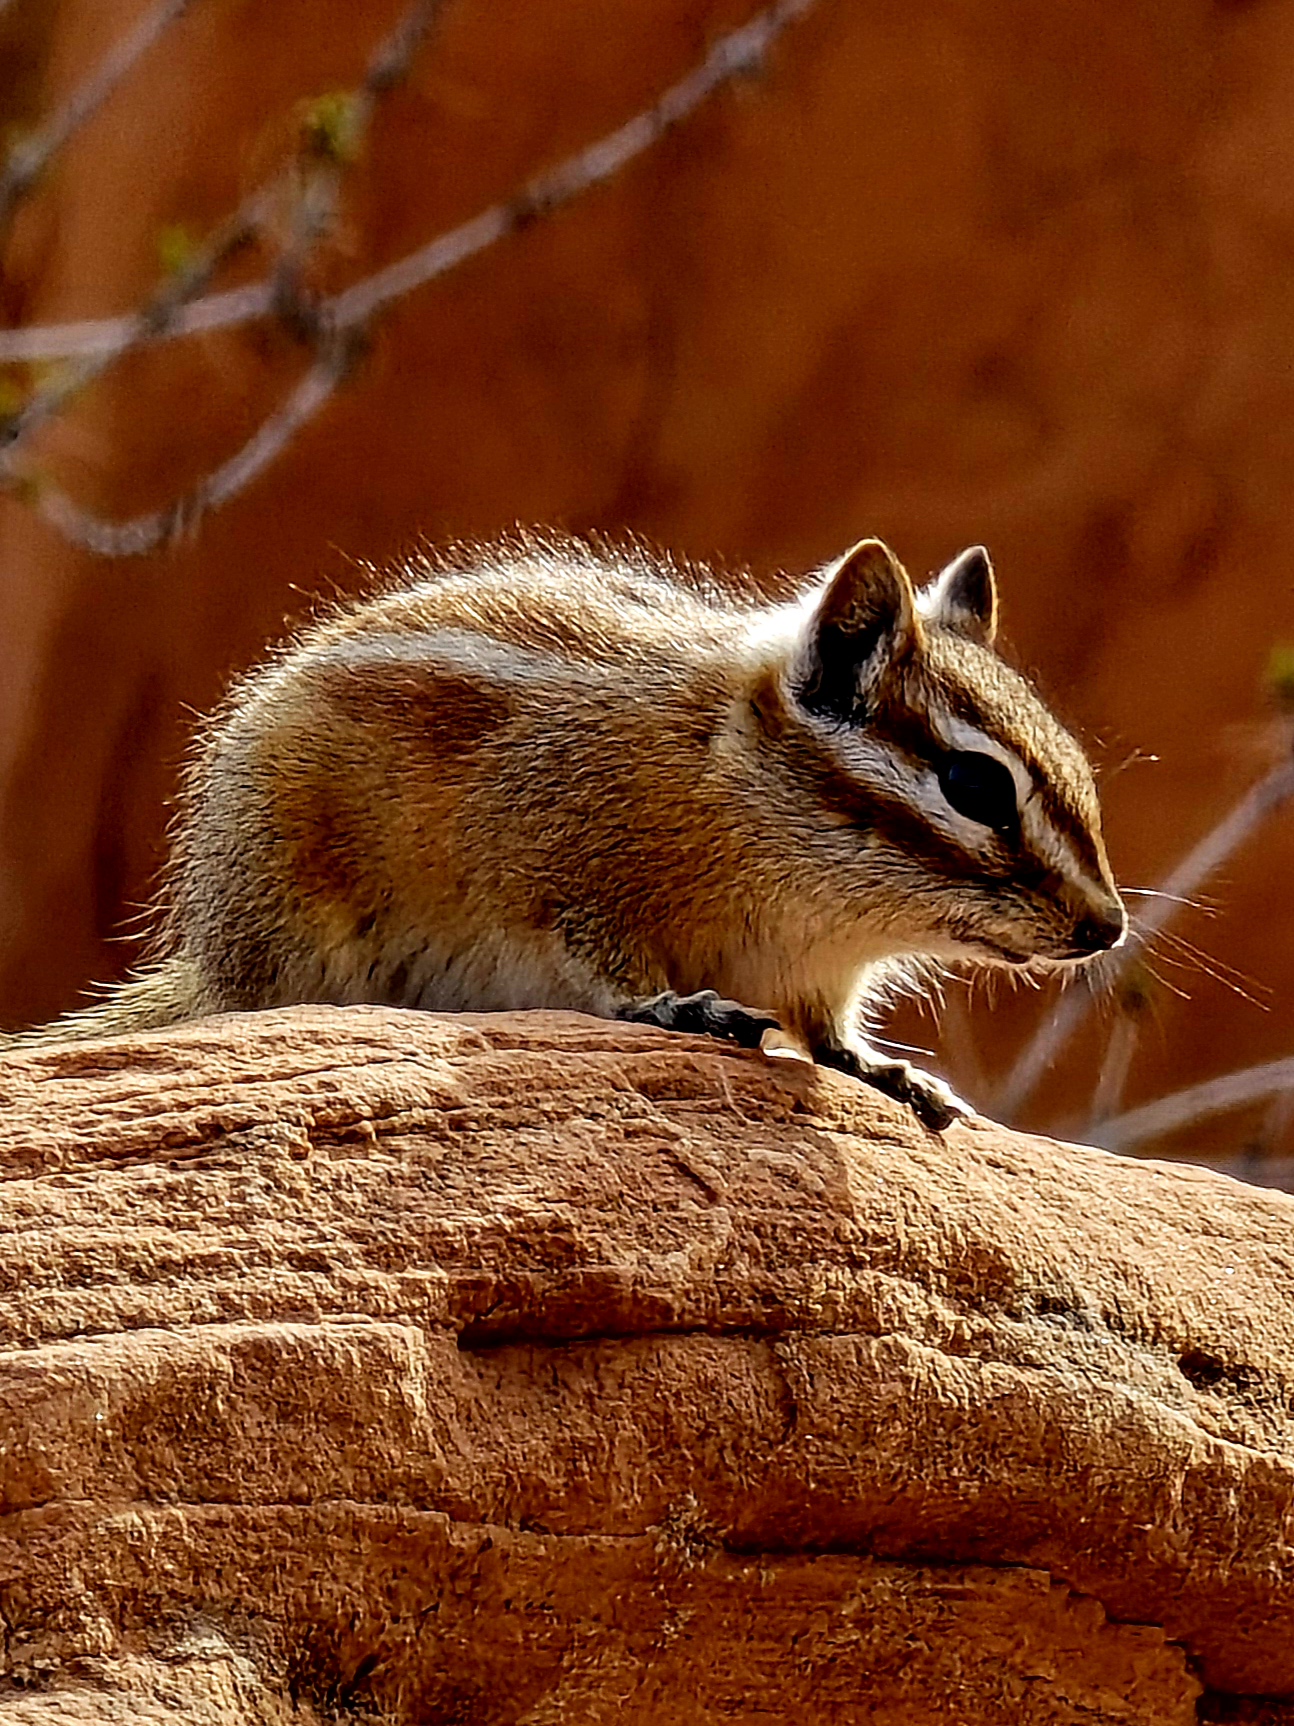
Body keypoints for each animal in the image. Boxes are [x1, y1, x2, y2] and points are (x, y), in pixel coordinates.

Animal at [4, 532, 1125, 1130]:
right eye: (975, 784)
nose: (1106, 927)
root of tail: (214, 954)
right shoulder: (564, 874)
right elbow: (600, 967)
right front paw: (674, 1005)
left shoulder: (818, 974)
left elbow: (828, 1037)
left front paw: (882, 1069)